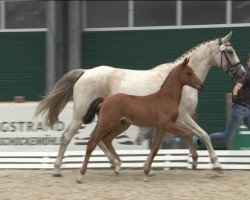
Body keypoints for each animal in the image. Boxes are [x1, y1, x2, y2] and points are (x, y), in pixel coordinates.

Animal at [36, 30, 245, 176]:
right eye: (230, 51)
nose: (241, 73)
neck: (178, 83)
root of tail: (85, 72)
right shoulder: (183, 117)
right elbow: (203, 135)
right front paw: (216, 164)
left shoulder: (175, 121)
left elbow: (190, 137)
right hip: (81, 115)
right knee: (68, 136)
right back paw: (57, 169)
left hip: (111, 120)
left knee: (99, 139)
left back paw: (116, 164)